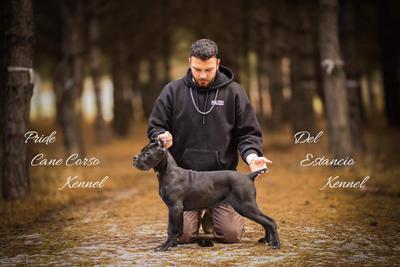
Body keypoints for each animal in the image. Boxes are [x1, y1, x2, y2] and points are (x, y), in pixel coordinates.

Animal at [133, 139, 280, 252]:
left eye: (147, 153)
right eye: (141, 150)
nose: (134, 158)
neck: (168, 173)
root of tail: (248, 176)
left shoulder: (175, 208)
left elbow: (173, 229)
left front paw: (165, 247)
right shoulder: (175, 209)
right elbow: (175, 229)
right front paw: (169, 244)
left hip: (246, 206)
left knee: (270, 221)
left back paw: (276, 244)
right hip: (247, 206)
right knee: (267, 222)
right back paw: (268, 241)